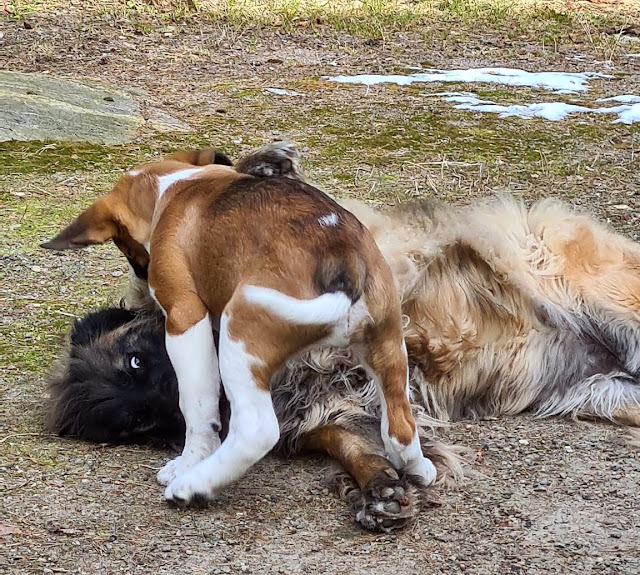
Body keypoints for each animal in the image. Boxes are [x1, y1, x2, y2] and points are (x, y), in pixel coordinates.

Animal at [41, 141, 436, 508]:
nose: (141, 271)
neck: (177, 186)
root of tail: (343, 265)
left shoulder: (185, 317)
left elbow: (198, 407)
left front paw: (187, 462)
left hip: (241, 347)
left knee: (257, 431)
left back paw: (193, 485)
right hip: (387, 343)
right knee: (400, 425)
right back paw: (417, 467)